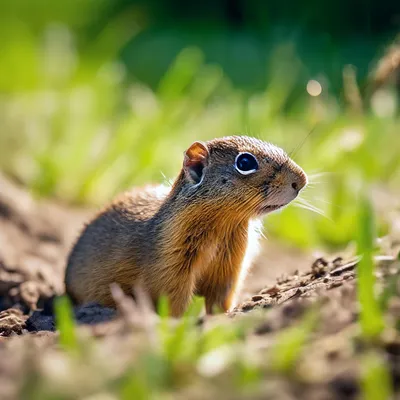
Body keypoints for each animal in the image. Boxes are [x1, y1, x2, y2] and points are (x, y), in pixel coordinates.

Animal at [64, 136, 308, 318]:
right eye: (245, 162)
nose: (301, 180)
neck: (223, 225)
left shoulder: (229, 270)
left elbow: (220, 301)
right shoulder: (171, 269)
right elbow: (174, 302)